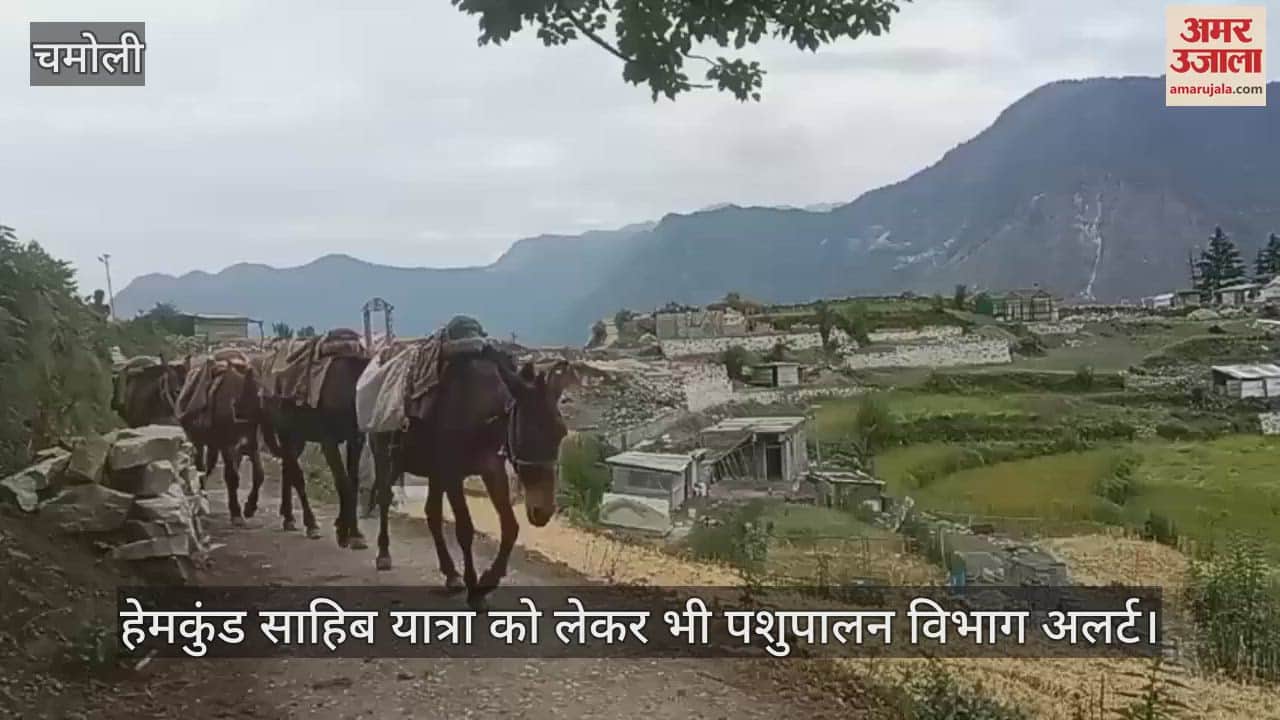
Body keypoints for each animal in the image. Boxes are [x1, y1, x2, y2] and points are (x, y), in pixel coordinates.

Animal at [177, 351, 269, 525]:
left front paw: (250, 507)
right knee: (201, 467)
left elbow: (259, 475)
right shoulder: (228, 445)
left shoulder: (252, 444)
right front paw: (236, 513)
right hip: (198, 440)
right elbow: (232, 477)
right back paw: (202, 499)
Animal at [258, 336, 370, 545]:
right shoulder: (329, 442)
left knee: (287, 467)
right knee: (296, 475)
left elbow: (352, 482)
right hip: (285, 432)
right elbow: (342, 482)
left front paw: (350, 530)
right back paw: (311, 524)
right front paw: (346, 532)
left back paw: (289, 517)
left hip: (298, 437)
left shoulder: (356, 439)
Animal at [367, 343, 572, 609]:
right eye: (528, 433)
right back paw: (383, 554)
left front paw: (488, 581)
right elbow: (465, 529)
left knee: (431, 513)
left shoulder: (491, 470)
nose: (543, 511)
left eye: (561, 433)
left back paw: (451, 574)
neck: (479, 412)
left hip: (431, 472)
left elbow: (511, 527)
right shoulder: (452, 475)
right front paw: (475, 588)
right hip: (386, 458)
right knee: (384, 498)